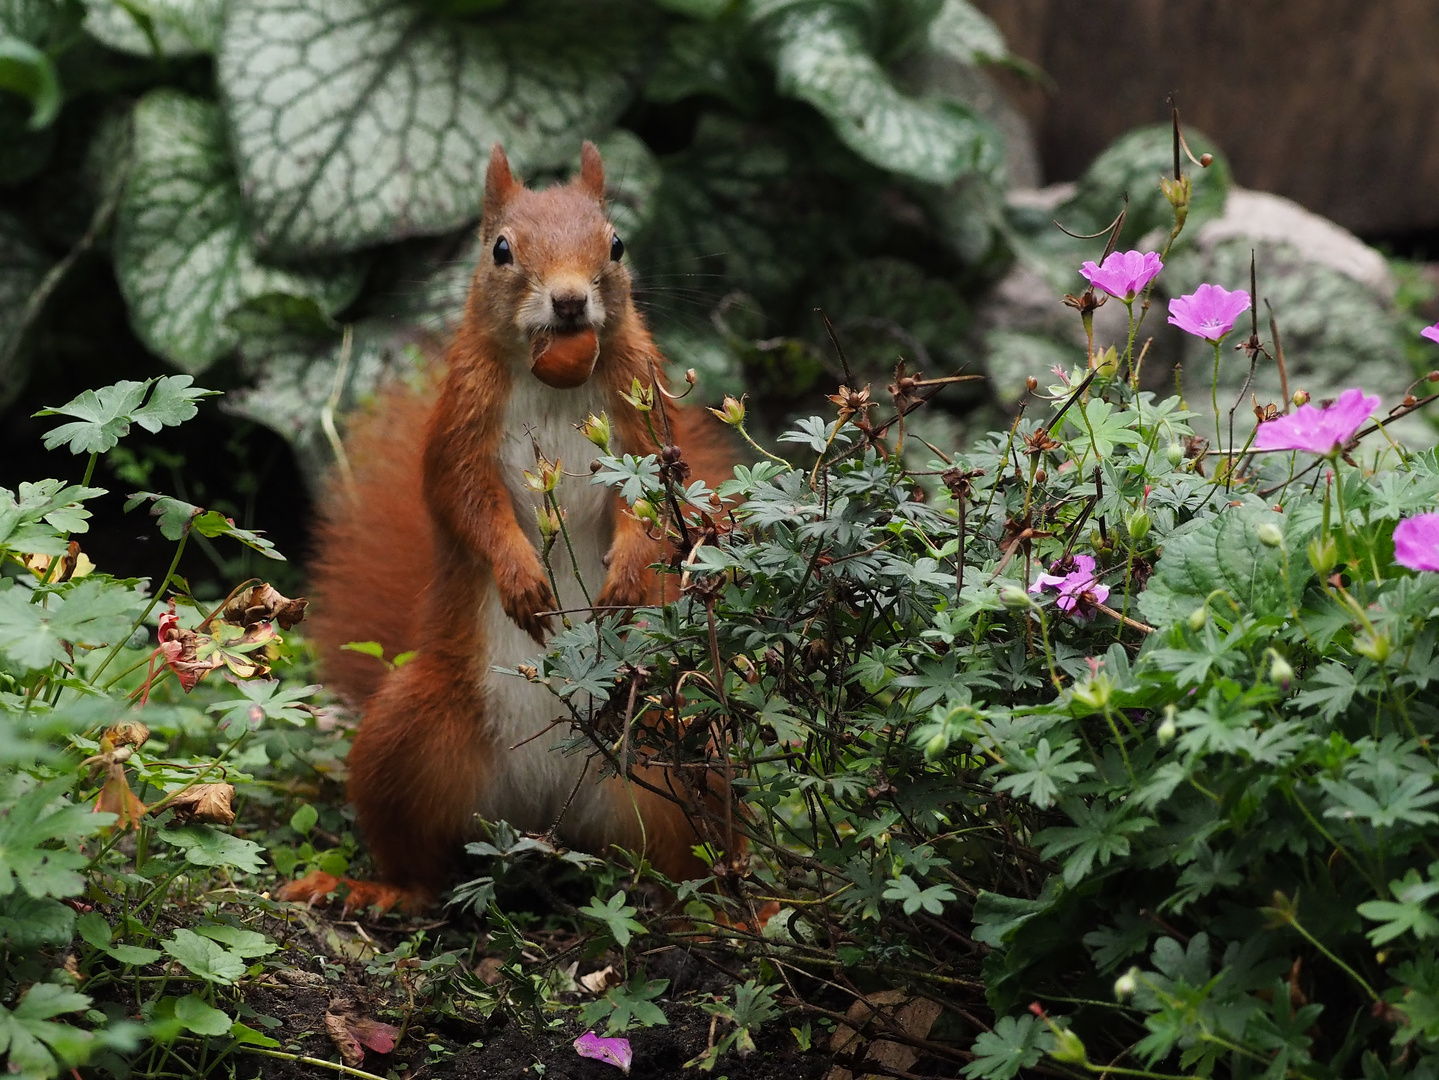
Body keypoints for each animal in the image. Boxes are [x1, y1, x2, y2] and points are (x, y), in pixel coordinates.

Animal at [279, 137, 731, 914]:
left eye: (616, 244)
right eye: (499, 250)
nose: (571, 299)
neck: (552, 379)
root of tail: (544, 813)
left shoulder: (642, 416)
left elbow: (654, 510)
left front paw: (626, 579)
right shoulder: (461, 421)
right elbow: (465, 502)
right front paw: (520, 576)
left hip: (683, 748)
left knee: (694, 862)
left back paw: (734, 910)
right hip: (408, 734)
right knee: (424, 866)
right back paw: (375, 888)